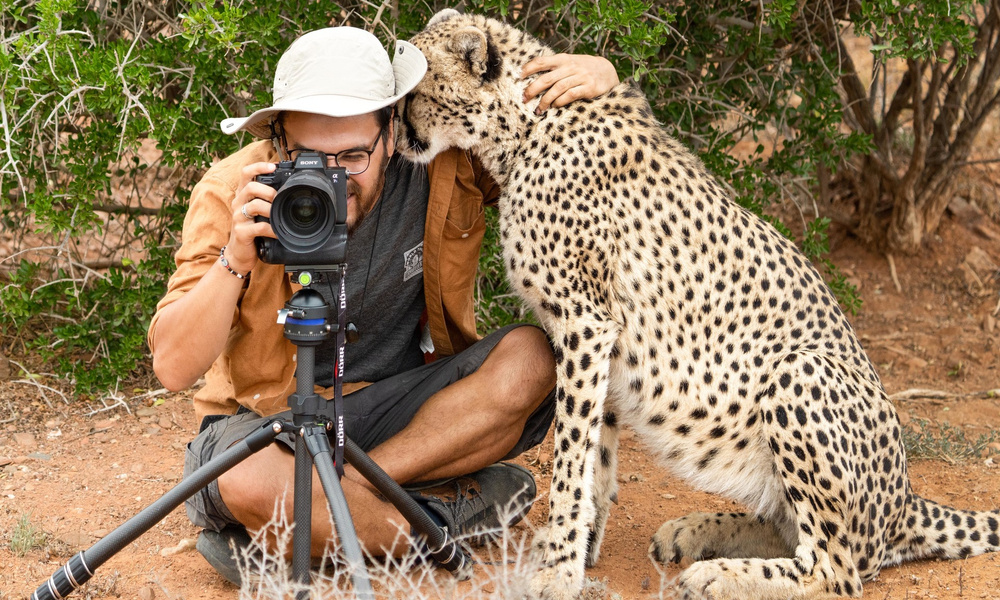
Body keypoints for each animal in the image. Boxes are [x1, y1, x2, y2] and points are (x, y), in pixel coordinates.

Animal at [394, 10, 996, 600]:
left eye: (415, 92)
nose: (396, 137)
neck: (524, 125)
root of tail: (906, 500)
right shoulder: (603, 335)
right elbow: (598, 457)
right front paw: (580, 551)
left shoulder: (585, 323)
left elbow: (571, 458)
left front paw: (559, 568)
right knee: (794, 531)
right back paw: (694, 534)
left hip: (798, 370)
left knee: (837, 569)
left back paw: (720, 574)